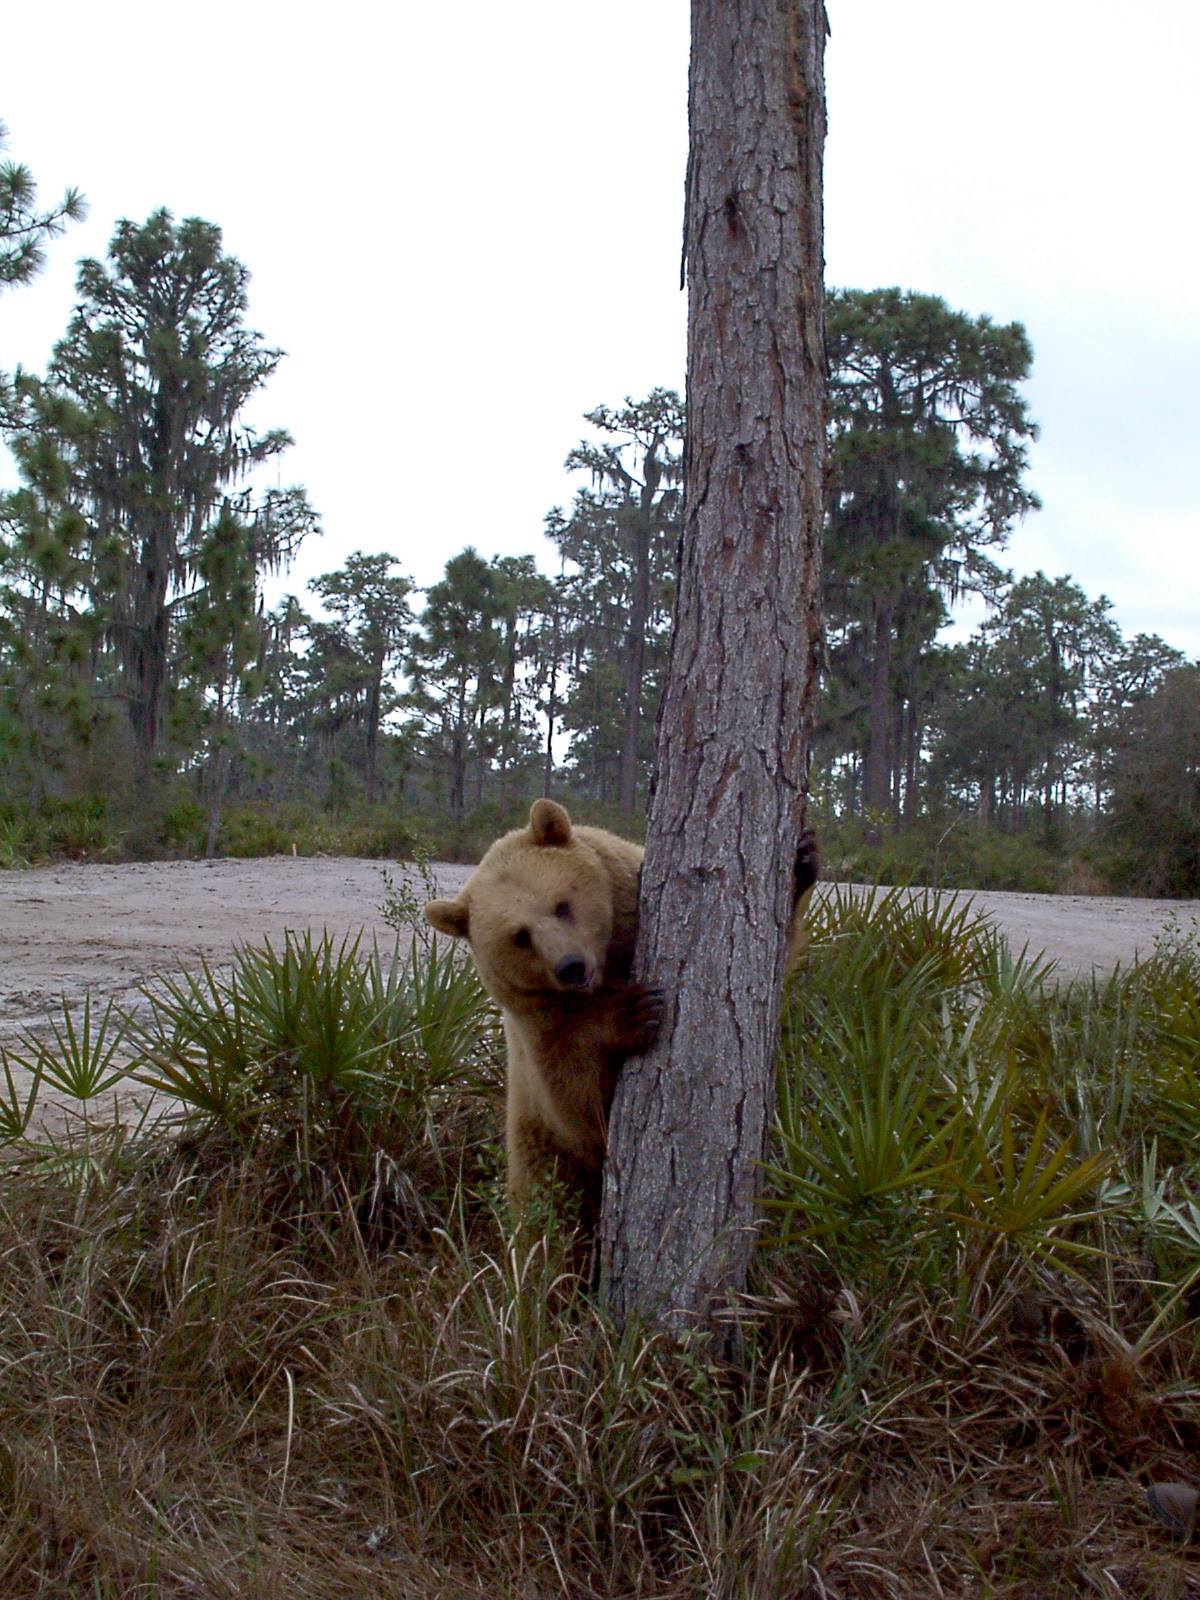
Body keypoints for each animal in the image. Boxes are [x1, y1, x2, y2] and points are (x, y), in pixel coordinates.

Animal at [422, 806, 819, 1228]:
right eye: (521, 936)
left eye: (561, 904)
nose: (571, 967)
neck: (606, 973)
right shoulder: (540, 1033)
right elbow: (582, 1098)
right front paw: (634, 1012)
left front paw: (803, 858)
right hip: (542, 1162)